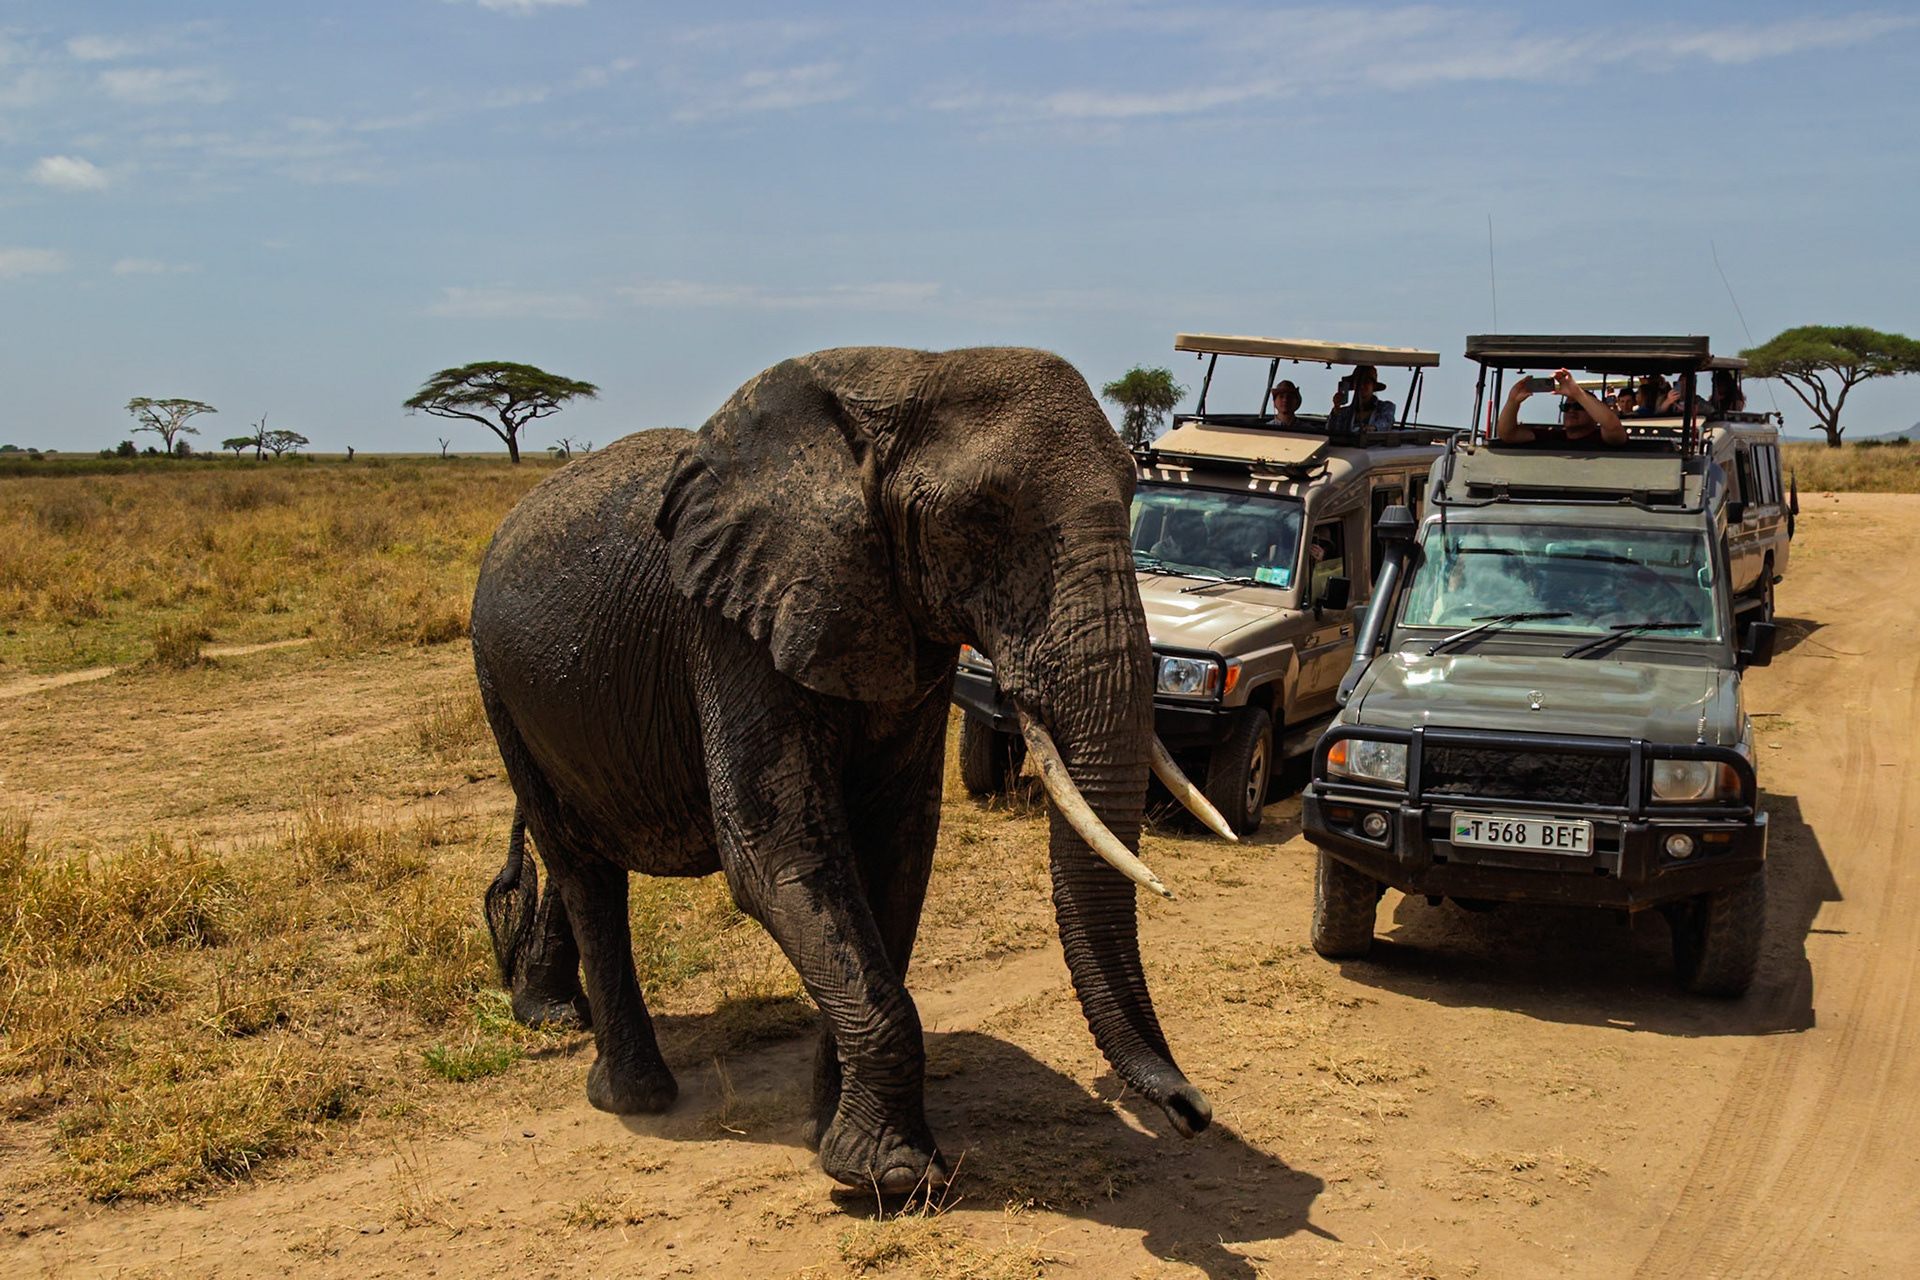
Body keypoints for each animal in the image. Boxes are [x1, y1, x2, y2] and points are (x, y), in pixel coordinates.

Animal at [471, 346, 1231, 1193]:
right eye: (980, 517)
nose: (1194, 1111)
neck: (900, 379)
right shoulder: (731, 627)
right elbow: (777, 856)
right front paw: (892, 1179)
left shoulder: (901, 628)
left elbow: (895, 849)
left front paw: (829, 1138)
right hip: (499, 682)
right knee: (583, 867)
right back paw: (632, 1097)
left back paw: (560, 1023)